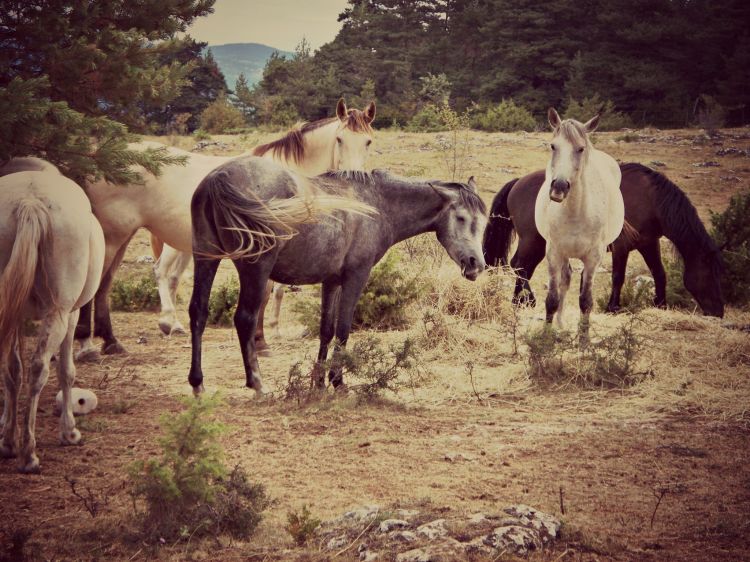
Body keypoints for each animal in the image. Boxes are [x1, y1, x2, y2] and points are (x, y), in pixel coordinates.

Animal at [0, 164, 104, 470]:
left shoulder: (15, 317)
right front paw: (69, 432)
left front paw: (6, 436)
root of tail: (30, 201)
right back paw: (29, 453)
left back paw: (12, 444)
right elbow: (66, 371)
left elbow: (12, 370)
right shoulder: (71, 315)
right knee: (39, 368)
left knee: (16, 368)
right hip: (58, 314)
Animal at [75, 97, 376, 358]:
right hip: (114, 236)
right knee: (107, 282)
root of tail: (99, 159)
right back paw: (89, 344)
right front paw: (260, 342)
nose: (355, 178)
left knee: (110, 283)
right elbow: (264, 293)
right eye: (339, 139)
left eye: (369, 141)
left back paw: (113, 341)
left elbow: (275, 291)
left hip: (126, 238)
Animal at [188, 155, 490, 394]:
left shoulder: (331, 280)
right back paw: (257, 383)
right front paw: (337, 381)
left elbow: (326, 330)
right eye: (461, 218)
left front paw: (319, 382)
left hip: (204, 259)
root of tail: (220, 176)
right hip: (255, 269)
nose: (476, 263)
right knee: (245, 319)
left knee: (198, 312)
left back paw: (197, 383)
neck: (377, 203)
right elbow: (344, 328)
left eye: (483, 221)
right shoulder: (356, 275)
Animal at [484, 164, 724, 318]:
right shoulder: (622, 246)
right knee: (519, 265)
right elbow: (618, 277)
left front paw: (661, 305)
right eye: (711, 272)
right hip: (532, 240)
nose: (719, 312)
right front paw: (613, 307)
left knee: (522, 267)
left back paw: (520, 301)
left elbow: (659, 273)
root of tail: (518, 182)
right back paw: (527, 300)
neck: (651, 200)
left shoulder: (649, 244)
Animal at [536, 106, 624, 342]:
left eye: (580, 149)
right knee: (565, 280)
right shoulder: (554, 252)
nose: (558, 187)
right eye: (553, 146)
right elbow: (552, 298)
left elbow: (586, 300)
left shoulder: (594, 257)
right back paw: (560, 323)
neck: (576, 212)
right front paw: (546, 337)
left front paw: (584, 340)